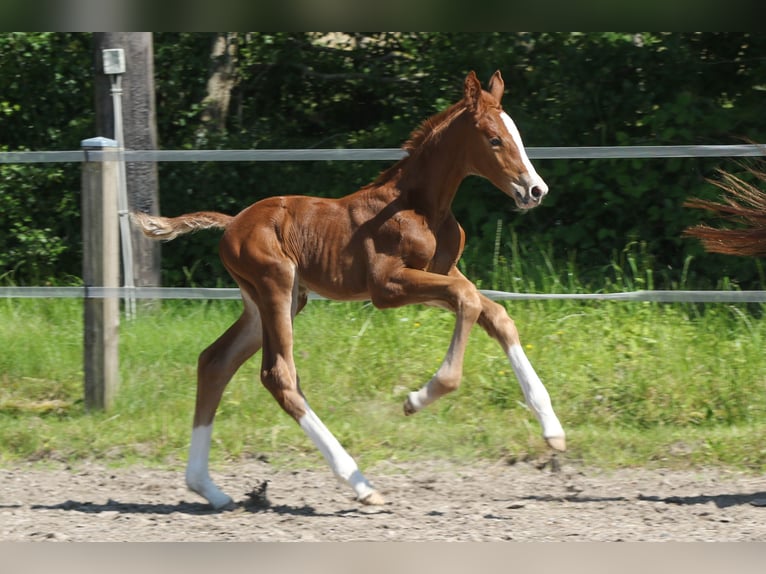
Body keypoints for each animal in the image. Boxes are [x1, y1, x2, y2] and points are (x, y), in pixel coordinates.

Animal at [132, 71, 568, 508]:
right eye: (494, 139)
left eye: (517, 136)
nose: (536, 190)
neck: (420, 206)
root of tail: (233, 223)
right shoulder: (387, 286)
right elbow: (468, 302)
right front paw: (417, 399)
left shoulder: (443, 273)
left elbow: (492, 312)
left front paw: (552, 430)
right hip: (276, 284)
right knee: (279, 375)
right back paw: (360, 483)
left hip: (275, 300)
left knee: (215, 361)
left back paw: (209, 489)